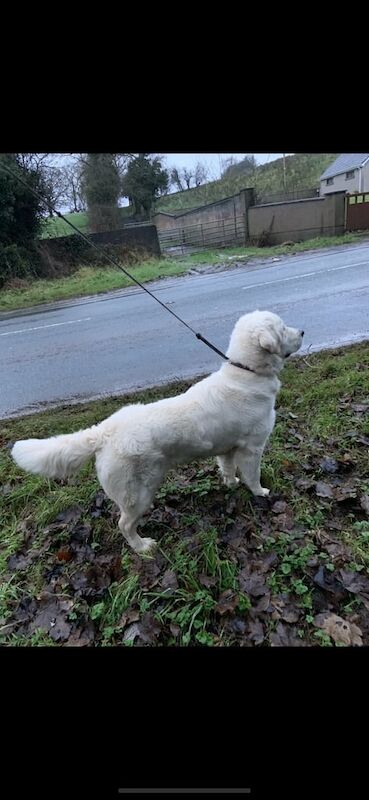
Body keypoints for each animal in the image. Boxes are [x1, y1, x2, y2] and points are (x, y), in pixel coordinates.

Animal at [11, 310, 304, 552]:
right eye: (282, 328)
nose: (302, 332)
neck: (247, 373)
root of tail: (104, 431)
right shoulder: (252, 448)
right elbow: (252, 476)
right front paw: (260, 493)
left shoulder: (227, 448)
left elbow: (228, 469)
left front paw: (230, 485)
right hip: (137, 495)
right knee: (124, 524)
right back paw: (142, 547)